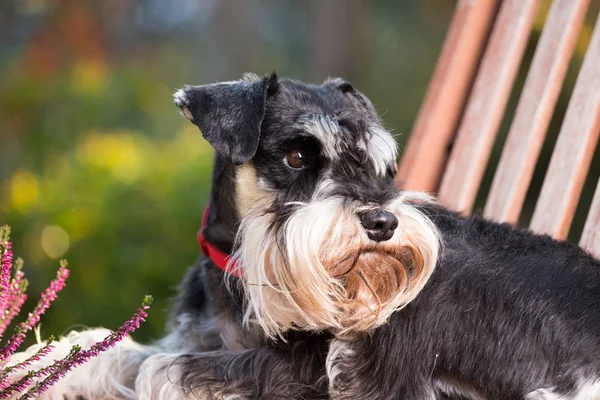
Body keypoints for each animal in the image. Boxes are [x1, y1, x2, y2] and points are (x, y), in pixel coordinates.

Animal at [7, 72, 600, 400]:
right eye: (296, 155)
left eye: (382, 165)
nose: (382, 223)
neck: (237, 278)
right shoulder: (196, 339)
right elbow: (117, 350)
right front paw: (36, 367)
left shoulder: (301, 366)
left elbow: (158, 369)